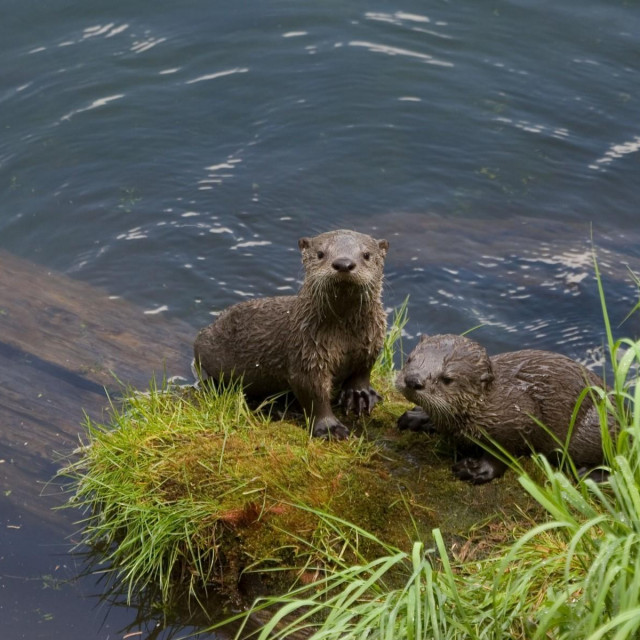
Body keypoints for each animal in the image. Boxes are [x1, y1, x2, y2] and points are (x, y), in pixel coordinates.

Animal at [192, 230, 388, 440]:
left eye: (366, 255)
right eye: (320, 254)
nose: (343, 263)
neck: (345, 339)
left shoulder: (372, 344)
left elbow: (362, 372)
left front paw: (359, 396)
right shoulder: (306, 353)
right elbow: (313, 394)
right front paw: (330, 428)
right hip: (204, 344)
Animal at [396, 332, 608, 482]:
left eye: (447, 379)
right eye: (410, 359)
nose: (412, 380)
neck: (487, 407)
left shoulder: (520, 417)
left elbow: (502, 452)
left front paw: (477, 470)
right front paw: (417, 417)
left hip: (592, 429)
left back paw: (589, 476)